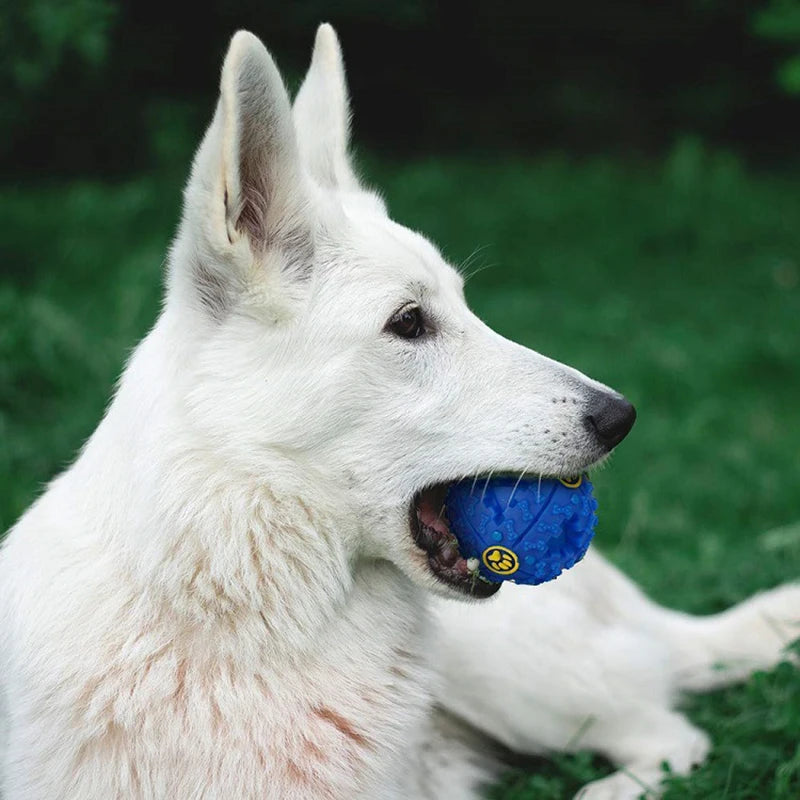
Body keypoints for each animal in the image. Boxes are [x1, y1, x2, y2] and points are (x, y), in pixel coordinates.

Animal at [1, 21, 800, 796]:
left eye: (466, 306)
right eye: (410, 323)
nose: (621, 417)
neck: (233, 620)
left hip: (508, 672)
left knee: (671, 734)